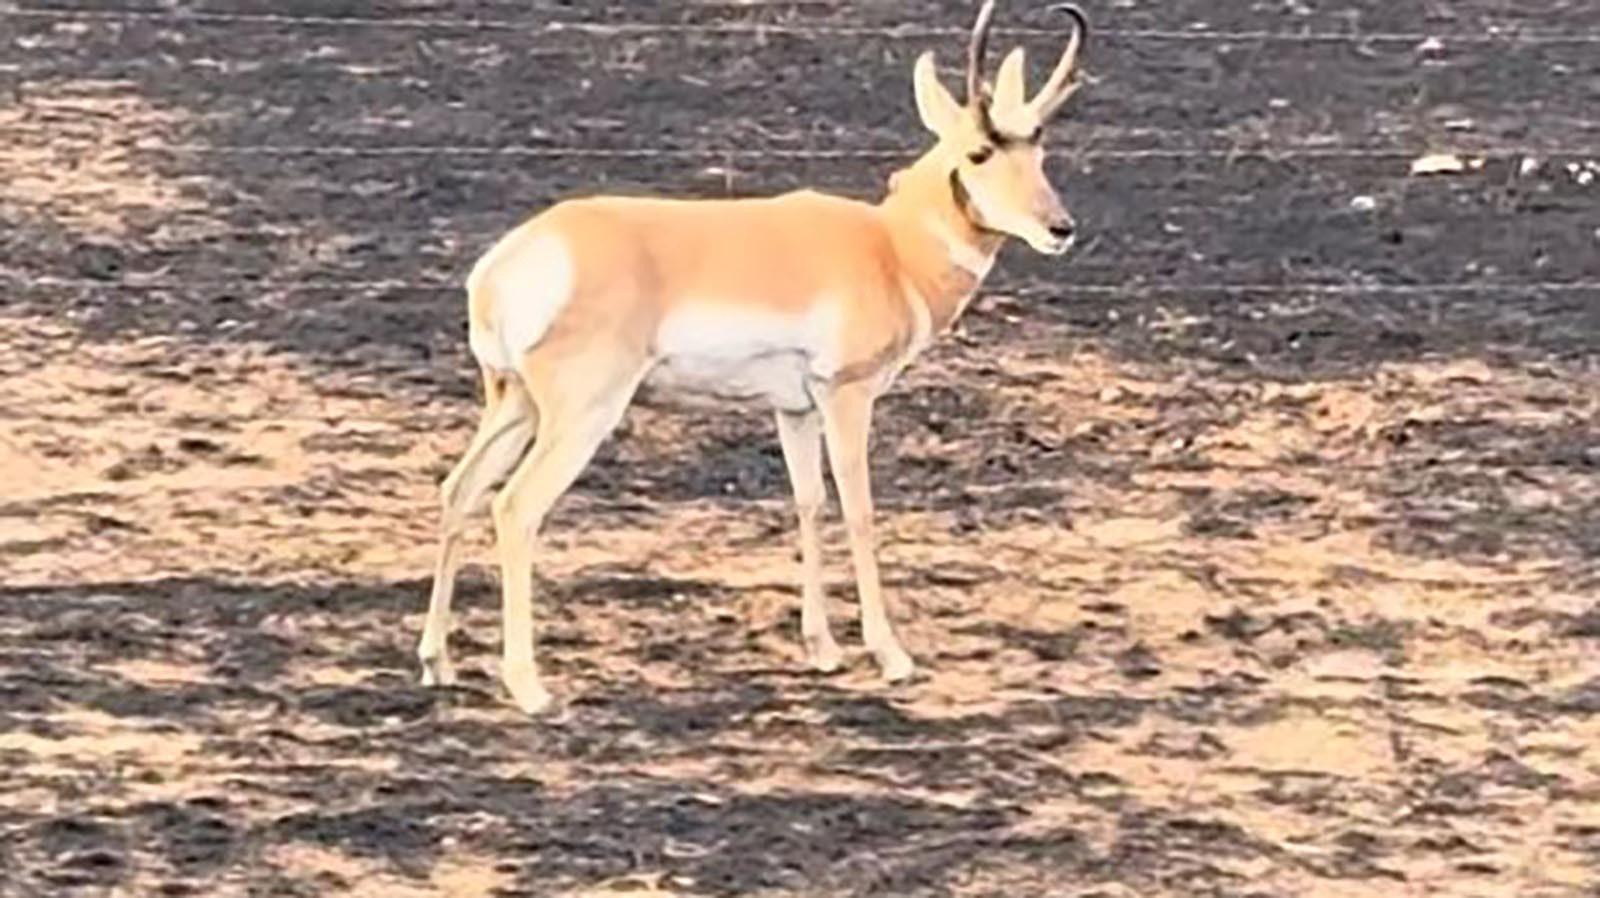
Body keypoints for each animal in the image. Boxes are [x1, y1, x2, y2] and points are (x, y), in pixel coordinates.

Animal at [416, 1, 1088, 713]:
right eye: (980, 151)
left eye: (1039, 149)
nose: (1060, 228)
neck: (889, 247)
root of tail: (507, 262)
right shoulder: (847, 396)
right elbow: (858, 508)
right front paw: (892, 656)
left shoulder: (794, 410)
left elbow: (808, 501)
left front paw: (822, 648)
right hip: (581, 415)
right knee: (514, 507)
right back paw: (531, 688)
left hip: (513, 403)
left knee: (461, 489)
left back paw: (438, 661)